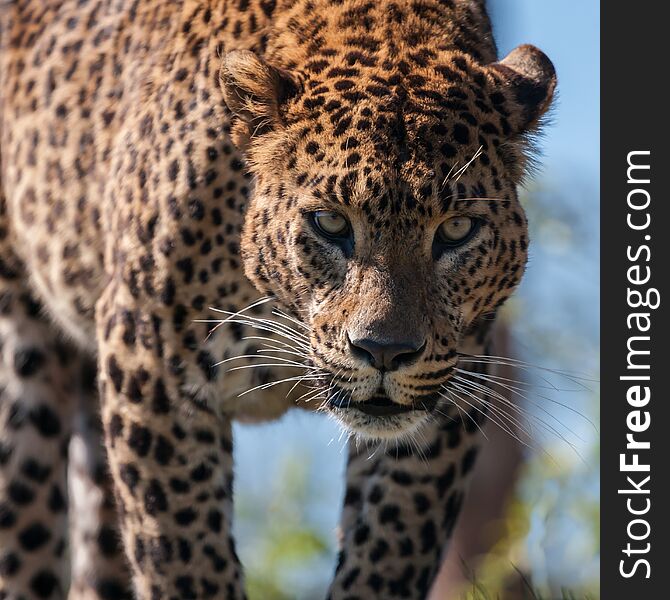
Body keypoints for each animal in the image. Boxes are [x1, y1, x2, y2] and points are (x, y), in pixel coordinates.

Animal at [0, 0, 556, 596]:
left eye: (455, 230)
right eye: (330, 223)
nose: (385, 352)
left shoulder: (453, 391)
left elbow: (391, 550)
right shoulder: (148, 359)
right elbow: (183, 555)